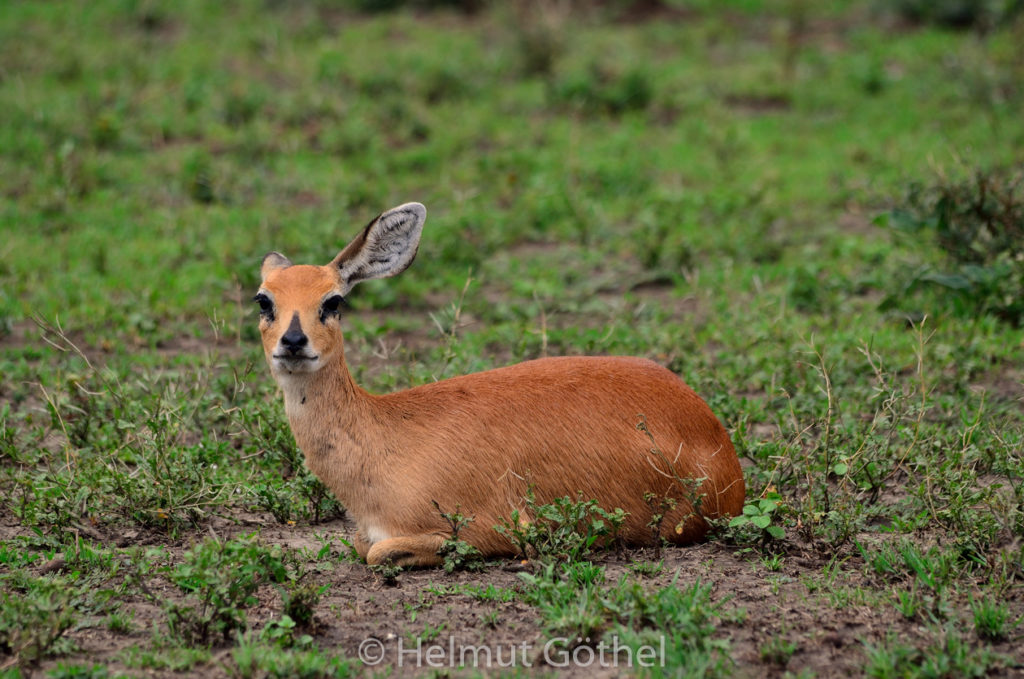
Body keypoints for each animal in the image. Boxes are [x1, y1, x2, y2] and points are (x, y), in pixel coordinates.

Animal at [254, 202, 745, 567]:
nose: (293, 342)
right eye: (264, 300)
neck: (384, 439)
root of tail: (718, 439)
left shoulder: (487, 528)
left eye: (333, 301)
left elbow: (379, 552)